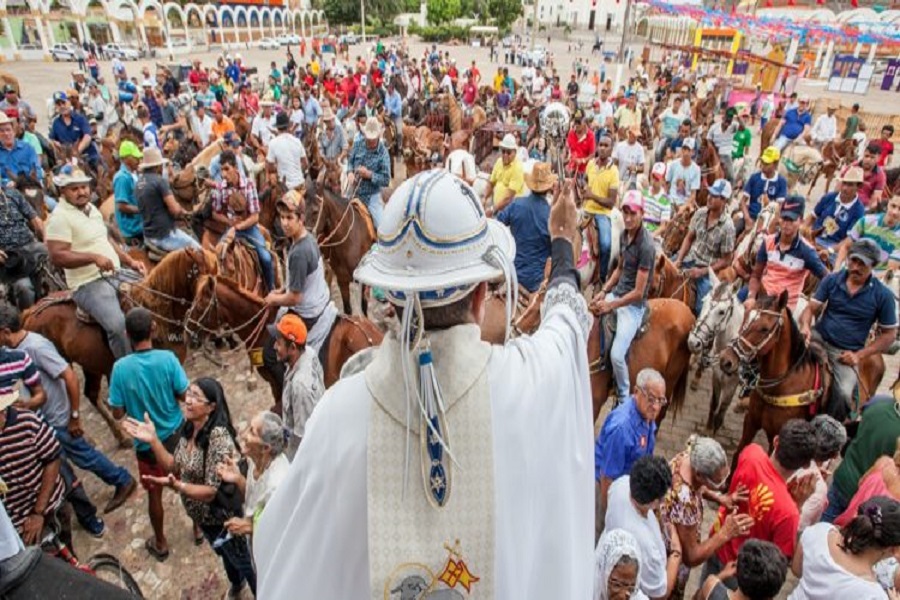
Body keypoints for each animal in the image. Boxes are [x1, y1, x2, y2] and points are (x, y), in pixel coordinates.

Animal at [21, 247, 220, 446]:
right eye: (203, 285)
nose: (199, 334)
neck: (156, 311)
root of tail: (30, 312)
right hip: (62, 362)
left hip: (90, 364)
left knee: (91, 394)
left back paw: (120, 436)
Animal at [688, 282, 744, 436]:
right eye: (703, 302)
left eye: (722, 311)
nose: (693, 342)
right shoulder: (716, 376)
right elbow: (714, 403)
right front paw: (708, 428)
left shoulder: (732, 384)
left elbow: (723, 408)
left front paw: (714, 430)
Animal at [716, 292, 884, 472]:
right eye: (746, 318)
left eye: (764, 329)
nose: (726, 360)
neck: (783, 384)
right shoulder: (751, 422)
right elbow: (738, 456)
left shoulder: (781, 436)